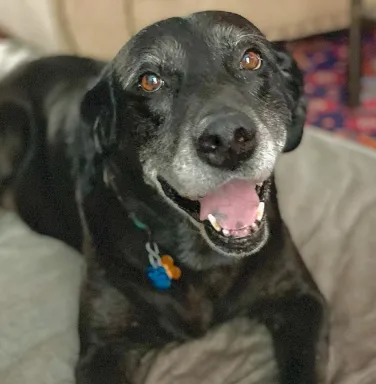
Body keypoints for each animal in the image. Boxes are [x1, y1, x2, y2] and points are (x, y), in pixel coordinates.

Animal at [0, 10, 328, 382]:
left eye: (251, 59)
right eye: (149, 81)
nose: (228, 139)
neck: (202, 257)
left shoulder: (301, 300)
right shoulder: (104, 348)